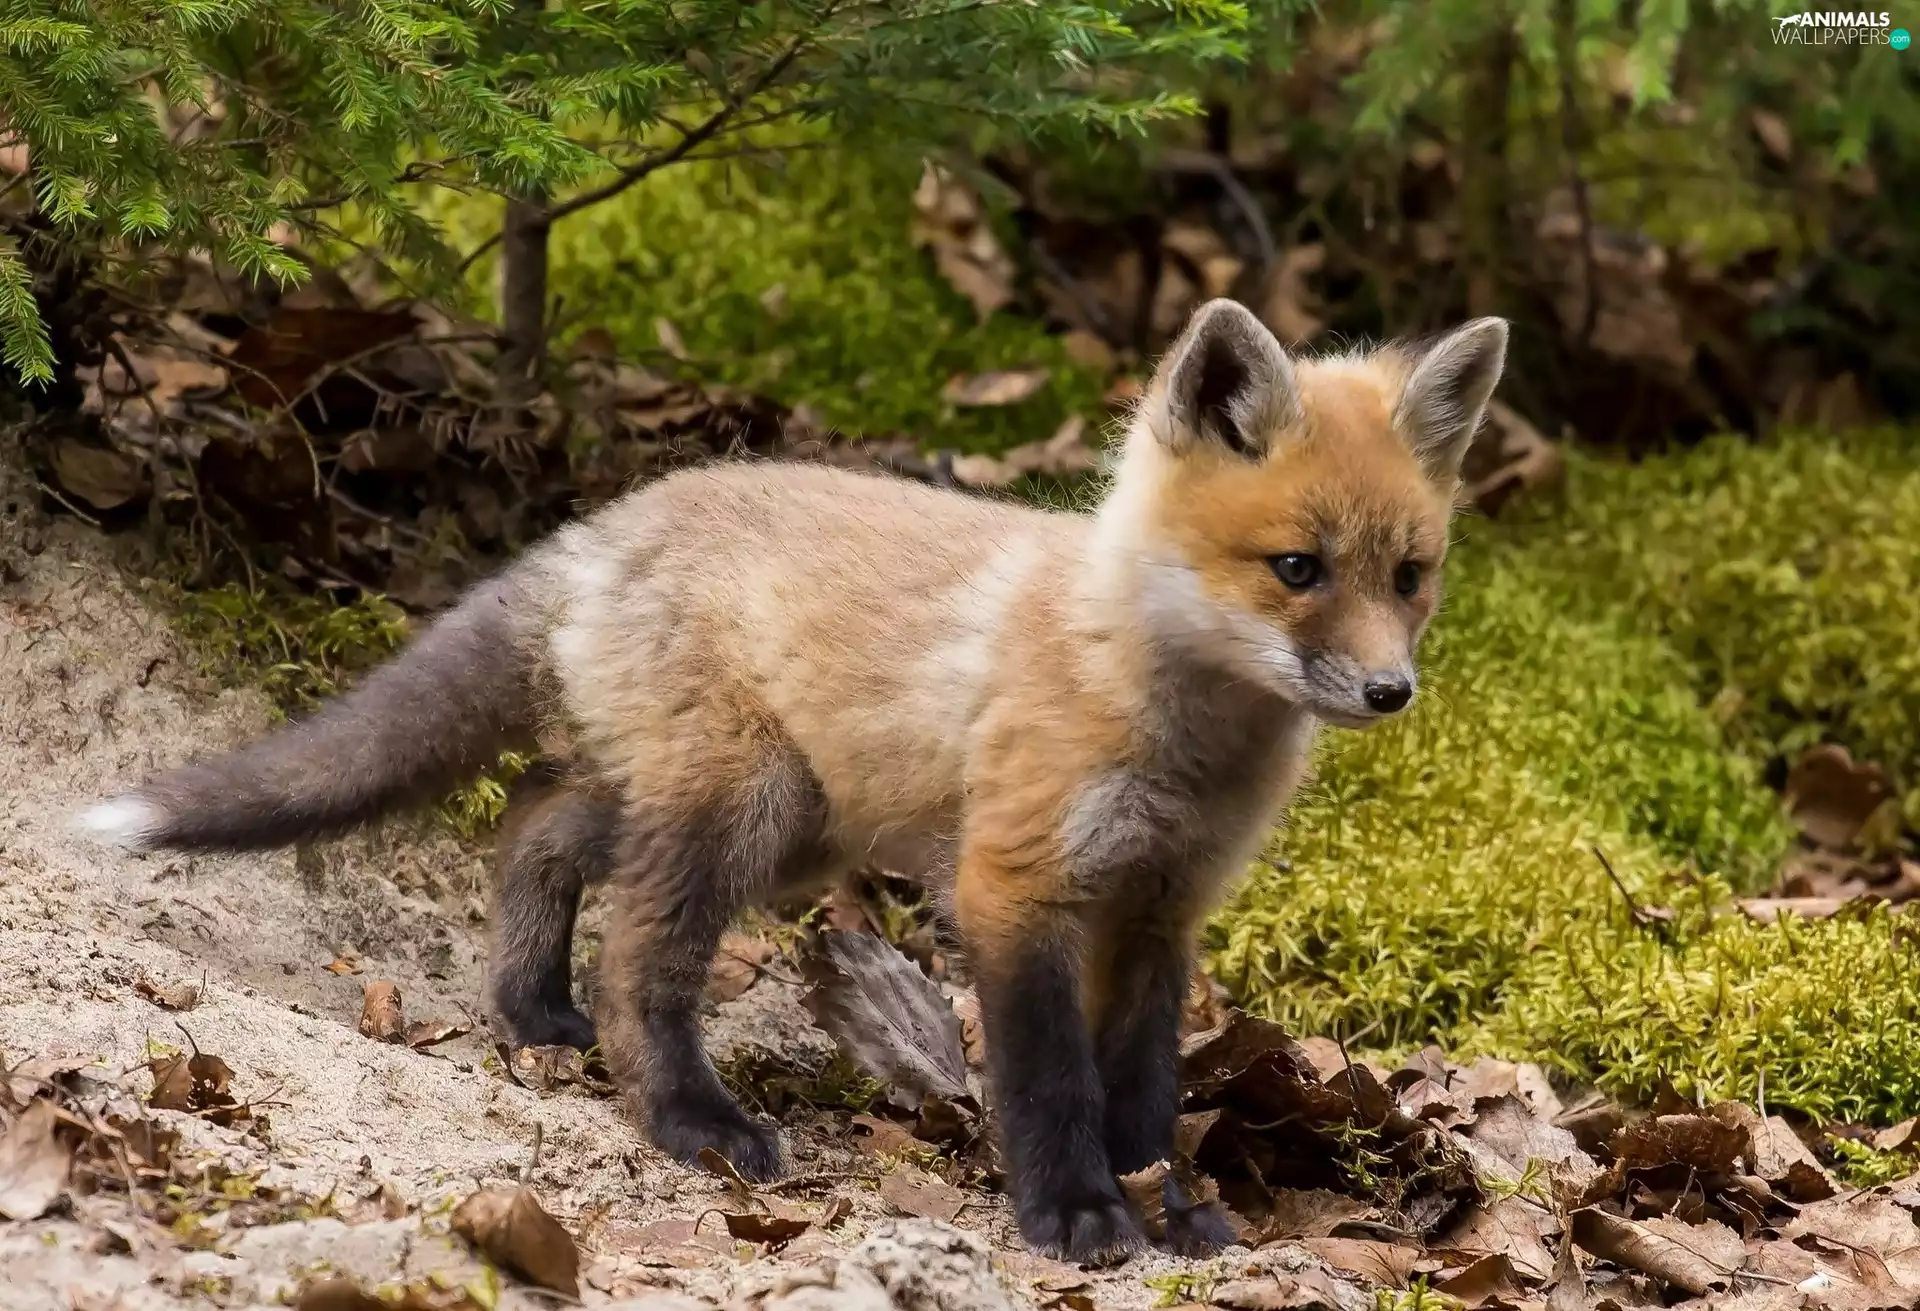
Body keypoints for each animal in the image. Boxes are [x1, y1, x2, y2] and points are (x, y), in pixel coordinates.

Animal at [76, 298, 1506, 1265]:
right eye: (1298, 570)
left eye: (1411, 576)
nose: (1392, 693)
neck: (1175, 731)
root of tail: (607, 523)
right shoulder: (1015, 885)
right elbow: (1052, 1080)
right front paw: (1075, 1213)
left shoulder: (1160, 910)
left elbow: (1146, 1088)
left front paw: (1177, 1207)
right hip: (745, 811)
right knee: (636, 960)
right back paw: (688, 1118)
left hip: (783, 826)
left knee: (536, 818)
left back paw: (531, 1009)